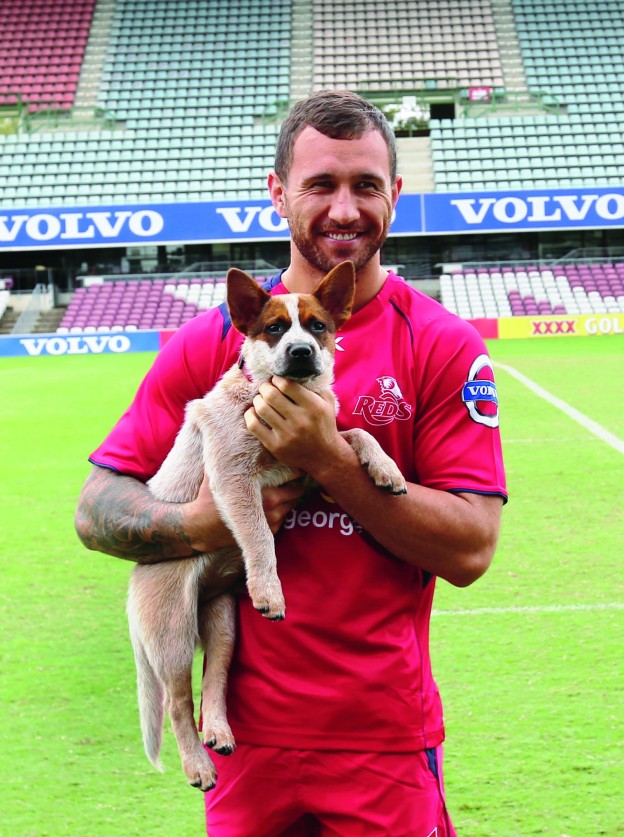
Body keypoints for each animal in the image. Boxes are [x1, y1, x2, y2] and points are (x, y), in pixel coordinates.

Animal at [127, 262, 410, 792]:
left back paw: (218, 733)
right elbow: (259, 535)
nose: (301, 352)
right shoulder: (233, 475)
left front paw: (386, 468)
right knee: (177, 700)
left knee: (214, 679)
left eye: (318, 326)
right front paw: (270, 589)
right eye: (275, 328)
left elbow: (356, 432)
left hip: (222, 622)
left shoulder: (313, 464)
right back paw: (197, 763)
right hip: (173, 628)